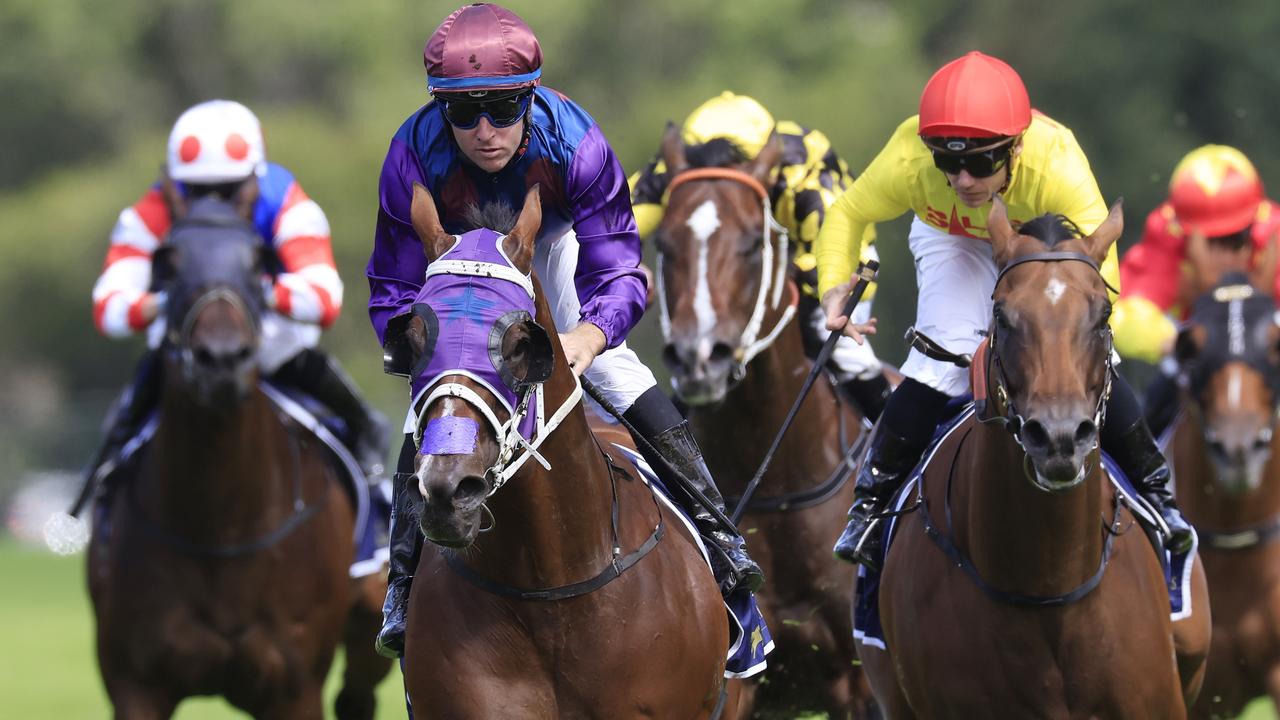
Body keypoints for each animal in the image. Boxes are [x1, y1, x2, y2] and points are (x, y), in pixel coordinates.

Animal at [86, 185, 389, 717]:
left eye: (257, 261)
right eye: (167, 263)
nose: (222, 359)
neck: (220, 527)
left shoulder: (294, 688)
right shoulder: (135, 683)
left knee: (358, 691)